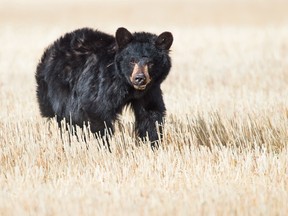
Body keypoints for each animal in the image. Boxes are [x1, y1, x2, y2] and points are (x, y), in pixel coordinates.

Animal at [35, 26, 172, 148]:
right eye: (132, 61)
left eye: (151, 63)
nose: (139, 78)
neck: (127, 85)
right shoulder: (101, 84)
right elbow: (98, 111)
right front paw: (105, 146)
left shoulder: (150, 90)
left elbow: (151, 114)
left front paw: (153, 145)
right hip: (55, 92)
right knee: (66, 118)